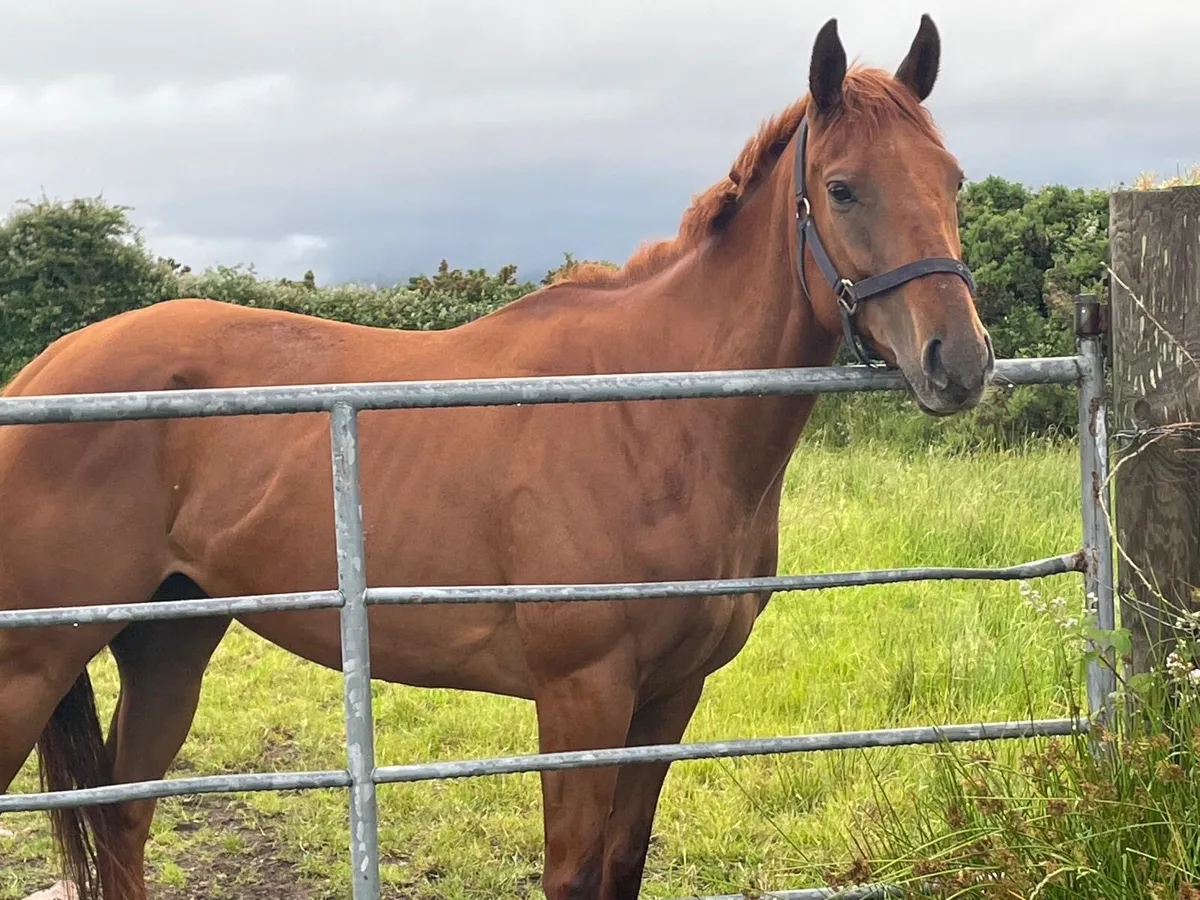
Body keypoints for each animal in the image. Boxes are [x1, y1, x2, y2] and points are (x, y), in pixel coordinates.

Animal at [0, 14, 992, 900]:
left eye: (952, 181)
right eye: (843, 188)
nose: (961, 360)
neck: (653, 414)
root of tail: (44, 372)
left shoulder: (669, 699)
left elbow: (623, 866)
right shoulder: (582, 697)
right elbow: (574, 873)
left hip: (170, 641)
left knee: (124, 816)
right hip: (30, 667)